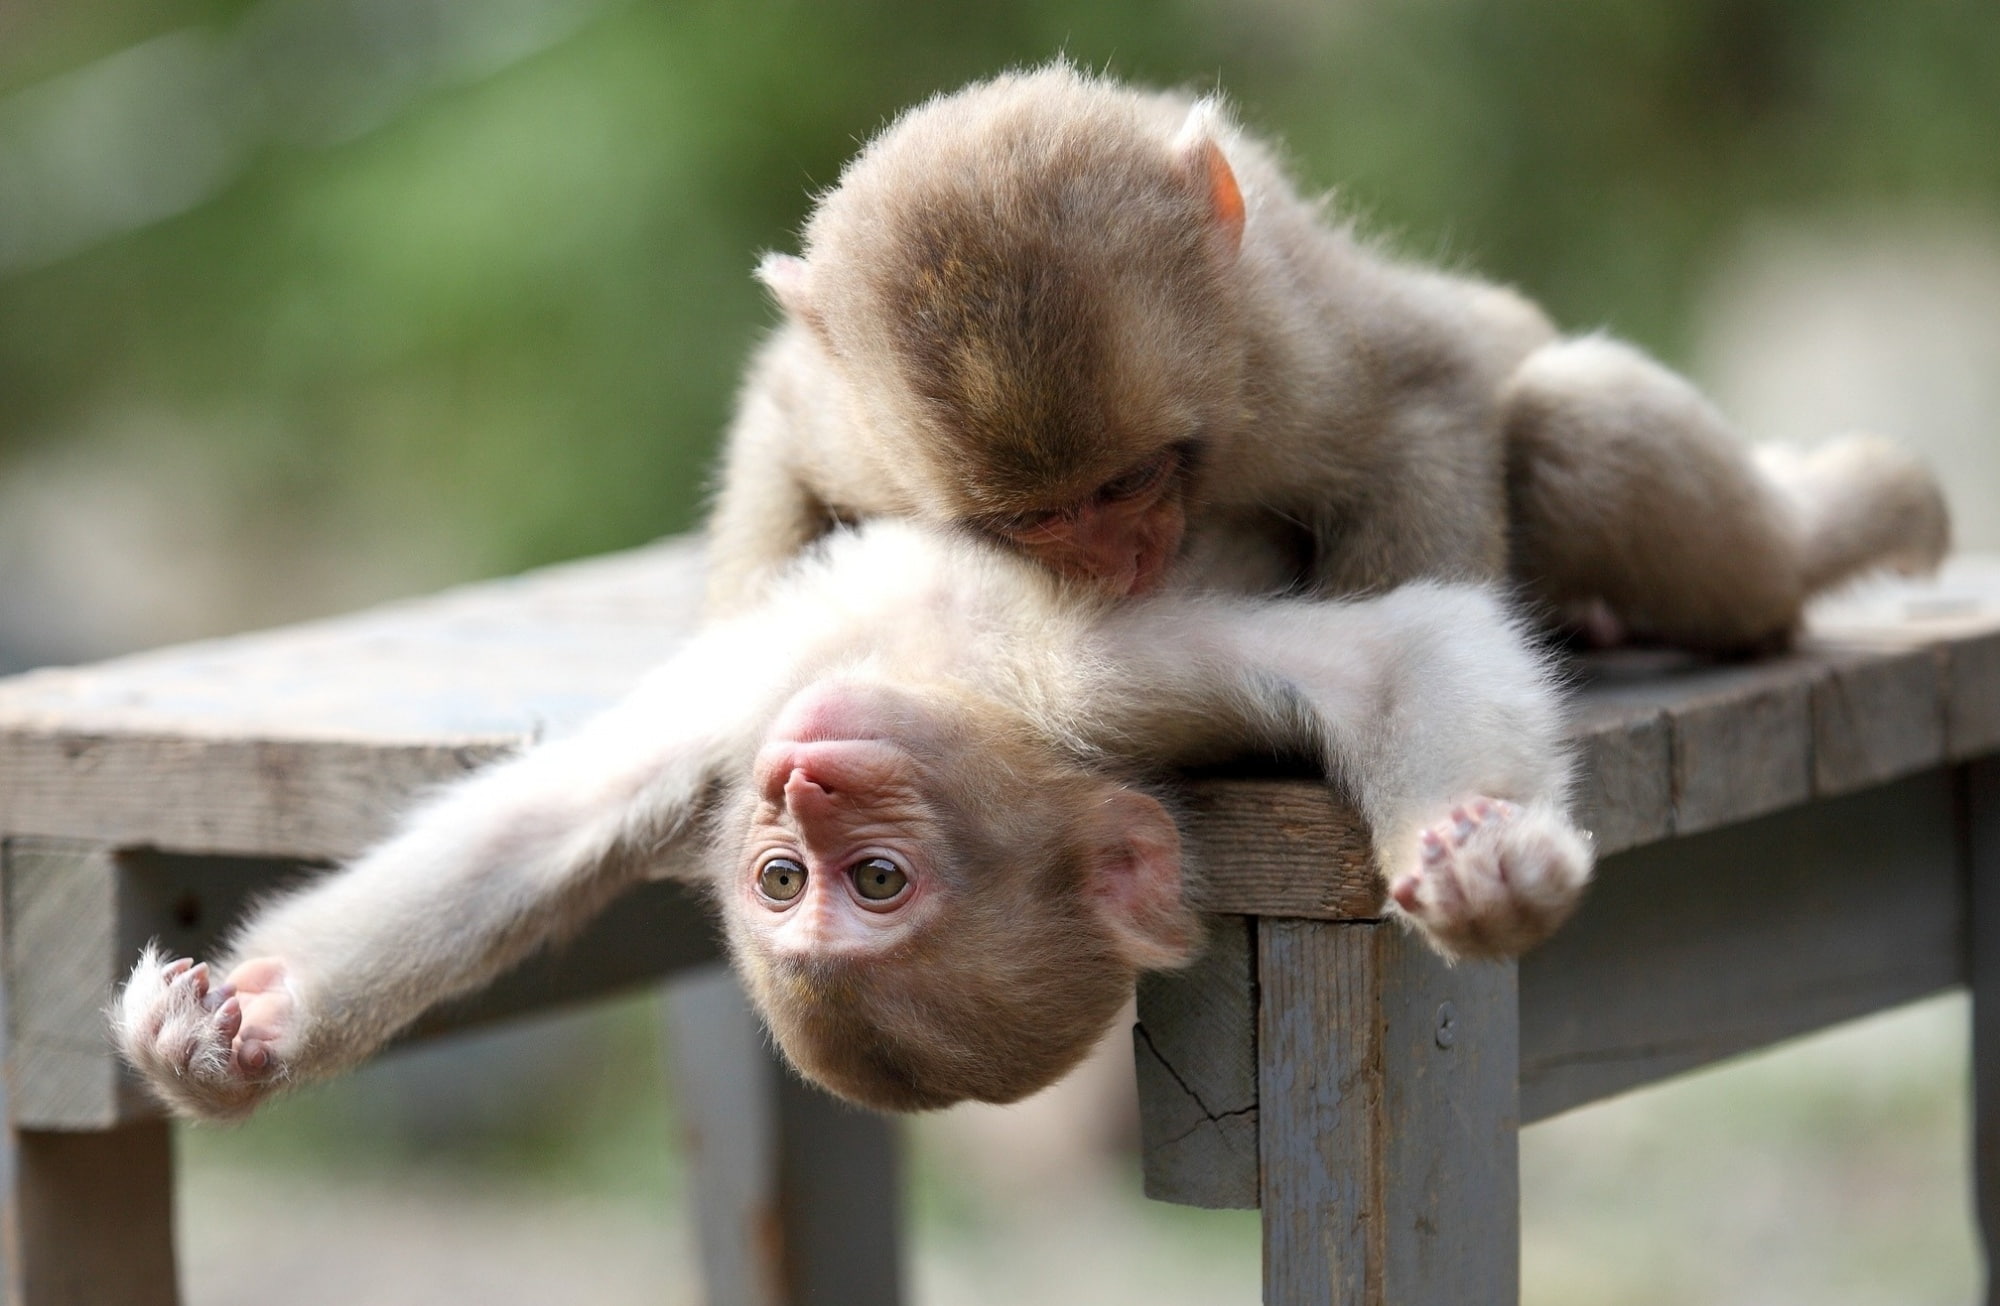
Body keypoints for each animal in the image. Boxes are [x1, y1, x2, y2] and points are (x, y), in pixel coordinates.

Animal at [116, 521, 1589, 1120]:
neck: (951, 678)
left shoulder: (1095, 684)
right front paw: (235, 1039)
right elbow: (535, 824)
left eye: (873, 880)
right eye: (782, 880)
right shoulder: (745, 730)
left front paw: (1488, 868)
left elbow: (1407, 647)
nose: (805, 783)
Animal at [705, 62, 1950, 648]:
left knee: (1572, 426)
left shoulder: (1281, 366)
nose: (1117, 563)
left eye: (1128, 483)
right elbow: (776, 421)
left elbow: (1428, 396)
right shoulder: (858, 427)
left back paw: (1803, 551)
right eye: (1035, 521)